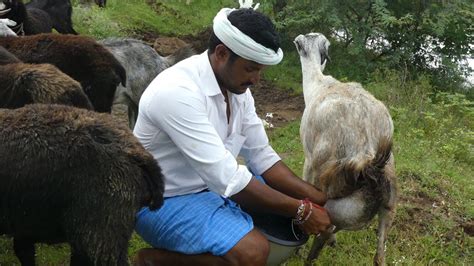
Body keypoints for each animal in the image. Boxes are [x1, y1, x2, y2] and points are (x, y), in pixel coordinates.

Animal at [294, 33, 398, 266]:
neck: (318, 84)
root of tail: (369, 160)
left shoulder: (309, 160)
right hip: (386, 210)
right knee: (379, 257)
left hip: (332, 202)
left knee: (323, 232)